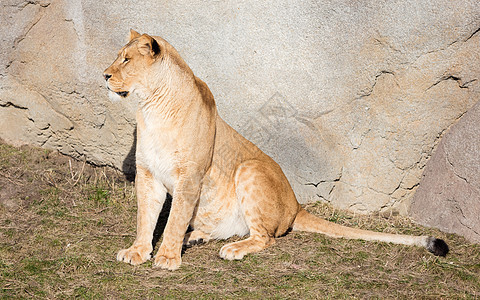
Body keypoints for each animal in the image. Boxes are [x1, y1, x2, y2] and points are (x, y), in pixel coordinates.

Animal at [103, 31, 448, 272]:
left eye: (126, 60)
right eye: (118, 57)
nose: (104, 75)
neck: (151, 107)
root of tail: (296, 206)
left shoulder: (190, 176)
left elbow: (174, 219)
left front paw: (167, 257)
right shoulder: (148, 173)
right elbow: (146, 217)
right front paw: (138, 252)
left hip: (250, 169)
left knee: (265, 237)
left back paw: (232, 249)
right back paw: (197, 236)